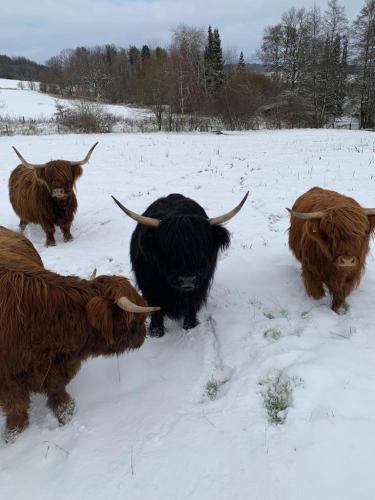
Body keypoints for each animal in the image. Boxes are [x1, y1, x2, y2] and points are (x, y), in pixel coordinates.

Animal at [0, 227, 159, 442]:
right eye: (133, 321)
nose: (144, 335)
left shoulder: (56, 368)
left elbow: (57, 392)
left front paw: (65, 413)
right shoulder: (7, 381)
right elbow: (16, 407)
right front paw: (13, 434)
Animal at [111, 191, 250, 336]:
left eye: (201, 247)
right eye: (168, 250)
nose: (187, 280)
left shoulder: (200, 285)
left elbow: (192, 304)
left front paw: (190, 325)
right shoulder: (150, 287)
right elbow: (156, 308)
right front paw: (156, 331)